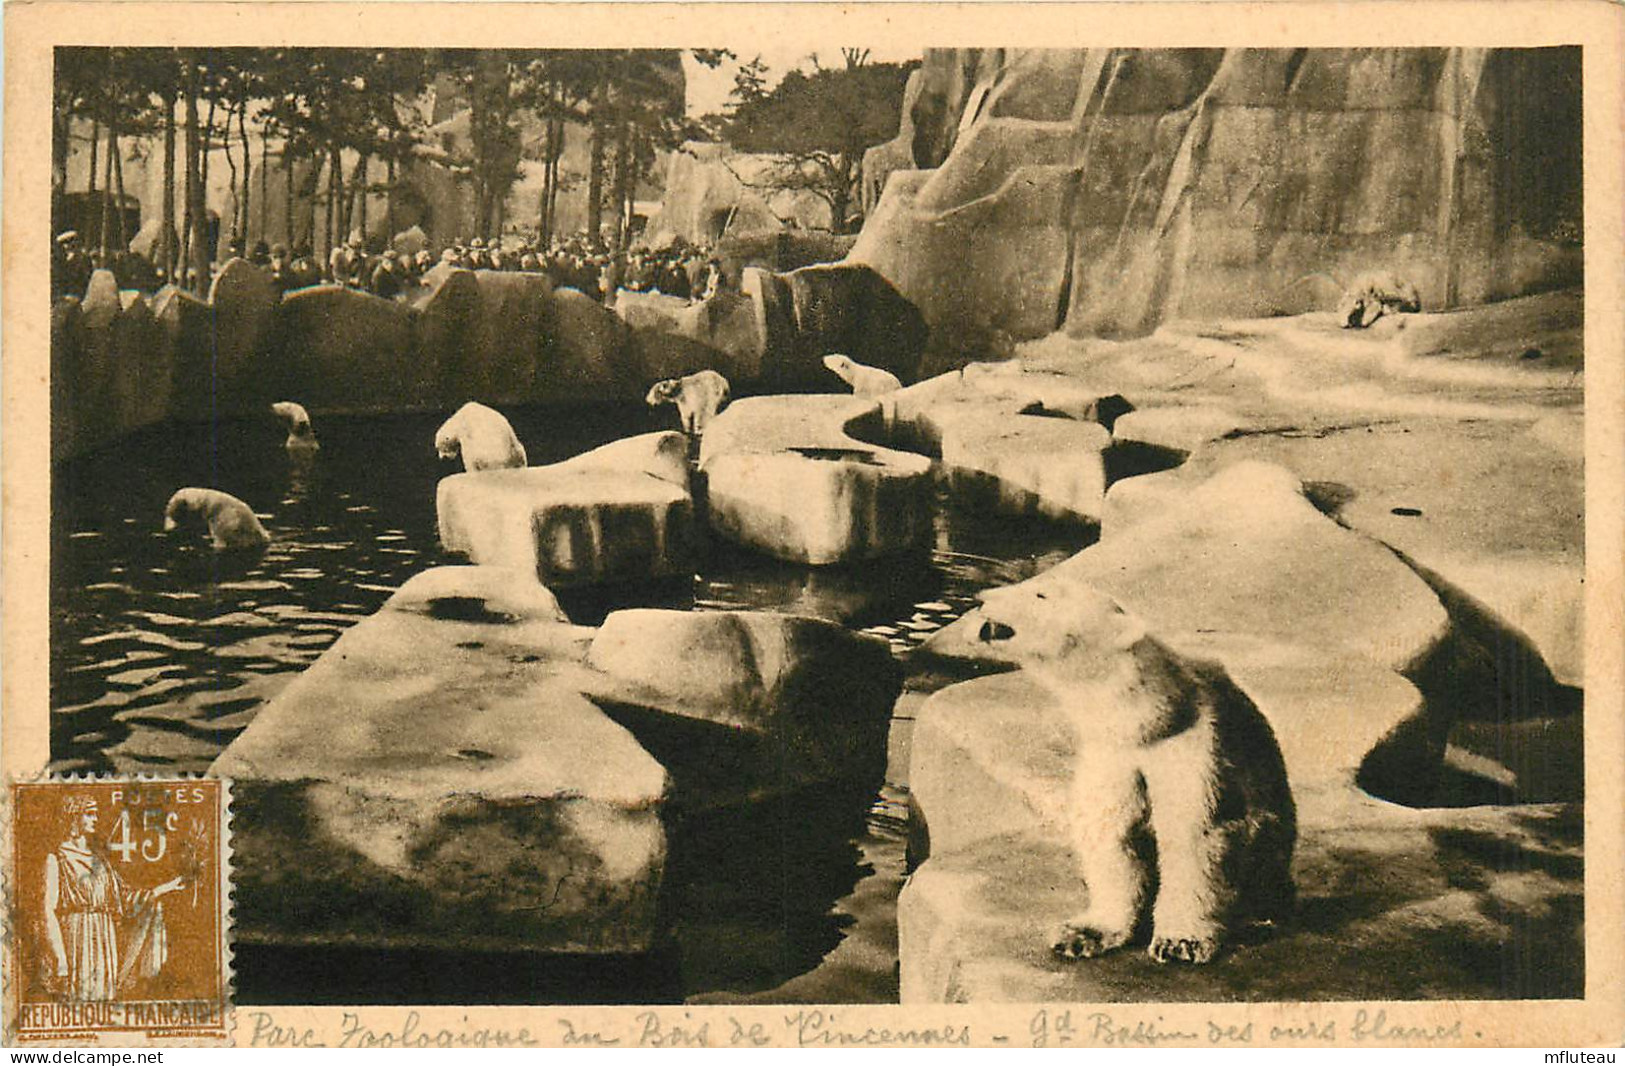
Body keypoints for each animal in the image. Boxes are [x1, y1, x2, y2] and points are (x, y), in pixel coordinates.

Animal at [968, 578, 1300, 962]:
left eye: (1041, 594)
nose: (982, 598)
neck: (1148, 719)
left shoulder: (1191, 746)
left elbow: (1193, 834)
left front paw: (1180, 942)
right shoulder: (1113, 756)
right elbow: (1111, 832)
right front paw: (1082, 933)